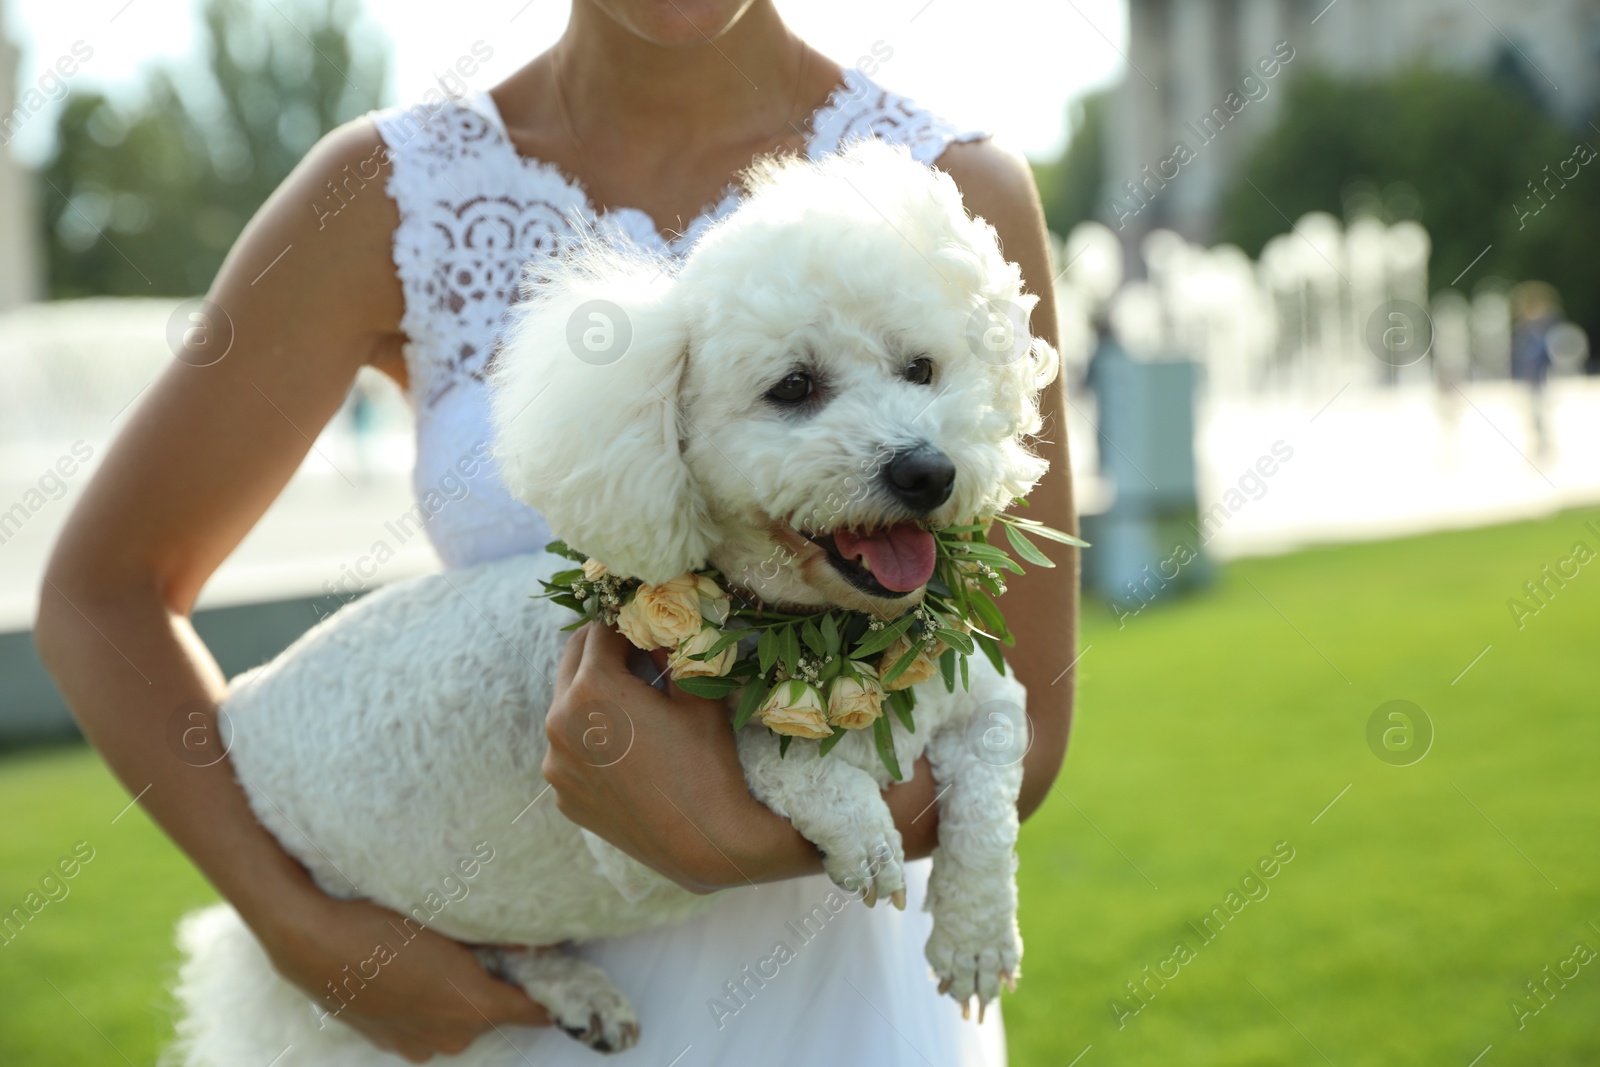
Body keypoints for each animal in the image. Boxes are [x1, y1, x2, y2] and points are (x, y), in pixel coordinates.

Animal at [175, 139, 1056, 1062]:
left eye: (922, 370)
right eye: (793, 387)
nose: (928, 471)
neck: (826, 635)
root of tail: (239, 706)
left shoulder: (985, 698)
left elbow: (989, 802)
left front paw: (976, 937)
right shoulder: (634, 848)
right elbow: (781, 760)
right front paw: (863, 833)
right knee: (485, 949)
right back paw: (574, 987)